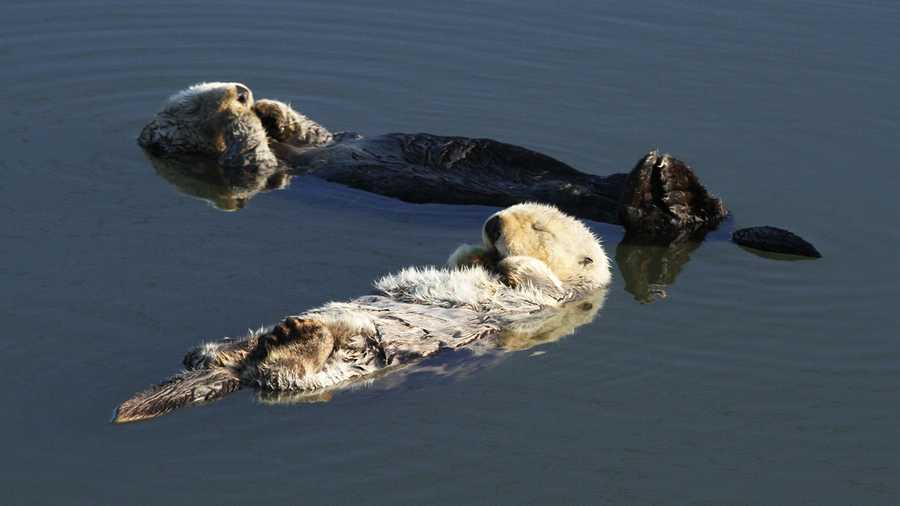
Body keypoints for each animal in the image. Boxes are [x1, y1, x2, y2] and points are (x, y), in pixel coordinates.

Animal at [114, 203, 612, 423]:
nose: (493, 224)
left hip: (345, 360)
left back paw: (294, 338)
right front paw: (475, 253)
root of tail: (243, 373)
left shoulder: (548, 302)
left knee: (288, 373)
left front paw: (510, 262)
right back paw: (239, 343)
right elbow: (459, 262)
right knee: (219, 355)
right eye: (506, 211)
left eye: (539, 226)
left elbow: (536, 281)